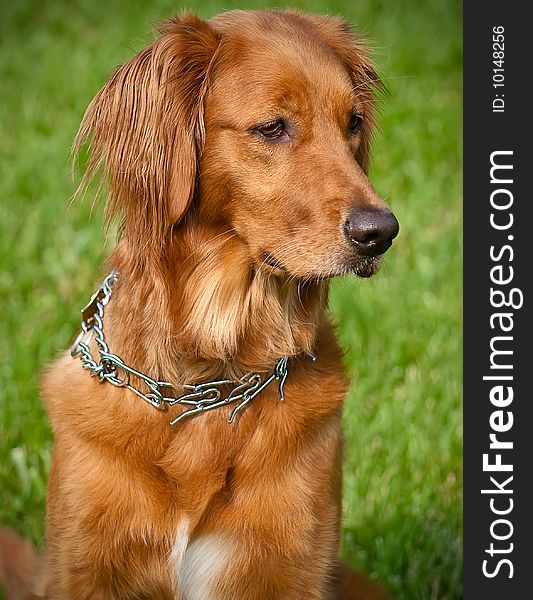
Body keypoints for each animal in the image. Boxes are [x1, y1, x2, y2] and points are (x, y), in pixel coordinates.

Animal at [2, 9, 396, 600]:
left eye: (352, 123)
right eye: (272, 127)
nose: (381, 233)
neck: (211, 371)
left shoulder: (289, 563)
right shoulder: (86, 565)